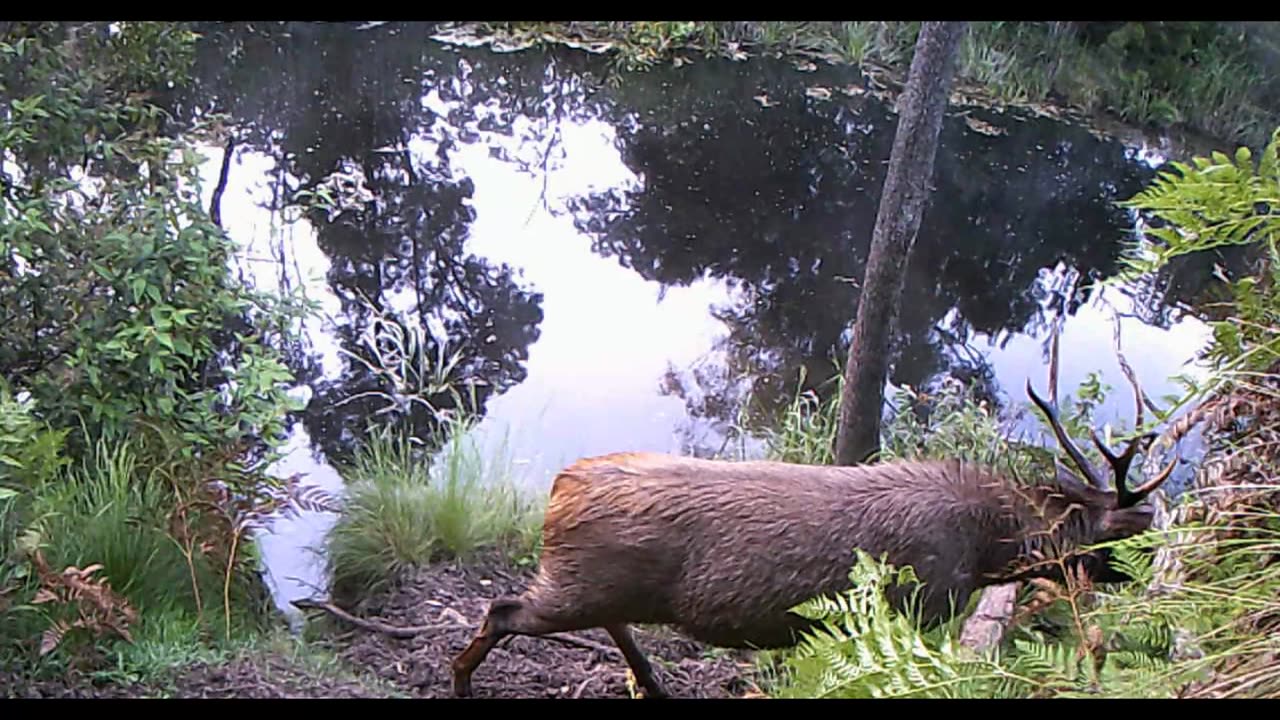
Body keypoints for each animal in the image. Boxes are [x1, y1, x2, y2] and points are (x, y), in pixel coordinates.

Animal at [450, 345, 1177, 696]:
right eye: (1110, 527)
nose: (1151, 544)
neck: (985, 548)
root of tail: (558, 486)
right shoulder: (924, 602)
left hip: (601, 584)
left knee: (606, 623)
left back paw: (652, 684)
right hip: (573, 582)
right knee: (502, 609)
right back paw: (459, 684)